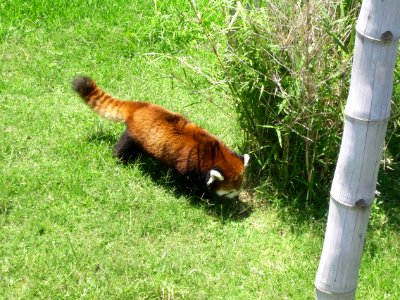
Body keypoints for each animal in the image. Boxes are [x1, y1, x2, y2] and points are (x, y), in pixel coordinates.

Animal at [71, 76, 247, 198]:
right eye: (230, 191)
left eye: (239, 187)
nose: (236, 197)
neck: (212, 152)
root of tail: (140, 107)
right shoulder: (189, 165)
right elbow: (189, 183)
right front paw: (199, 196)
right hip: (133, 136)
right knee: (123, 148)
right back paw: (120, 160)